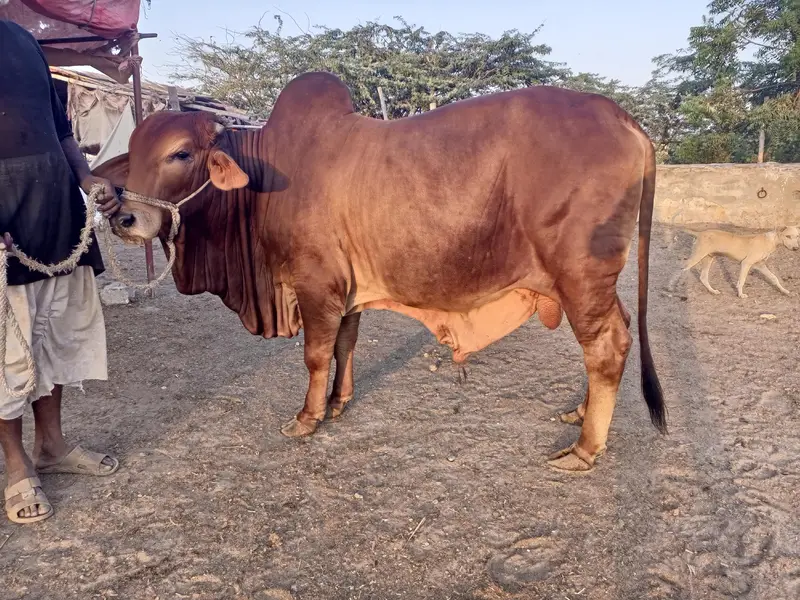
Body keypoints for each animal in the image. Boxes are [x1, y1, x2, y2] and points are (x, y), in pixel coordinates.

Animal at [93, 72, 666, 472]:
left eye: (181, 153)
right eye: (134, 154)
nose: (124, 218)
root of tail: (627, 121)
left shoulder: (316, 282)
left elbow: (316, 353)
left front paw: (307, 418)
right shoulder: (346, 289)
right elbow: (345, 343)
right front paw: (339, 403)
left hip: (581, 275)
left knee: (607, 345)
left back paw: (585, 448)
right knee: (615, 336)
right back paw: (580, 414)